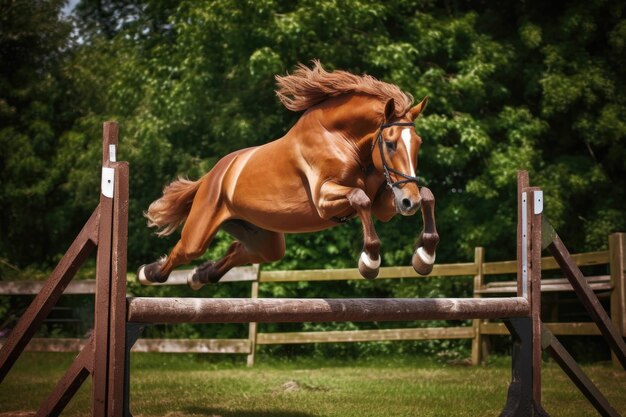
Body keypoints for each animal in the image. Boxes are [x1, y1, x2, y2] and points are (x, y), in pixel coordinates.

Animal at [138, 61, 436, 290]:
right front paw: (370, 262)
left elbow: (427, 195)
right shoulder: (324, 200)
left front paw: (425, 256)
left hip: (262, 236)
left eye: (418, 144)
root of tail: (212, 174)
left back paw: (199, 276)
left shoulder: (385, 203)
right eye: (390, 144)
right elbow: (359, 197)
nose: (408, 203)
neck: (343, 139)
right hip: (200, 231)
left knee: (239, 251)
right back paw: (148, 273)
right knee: (181, 251)